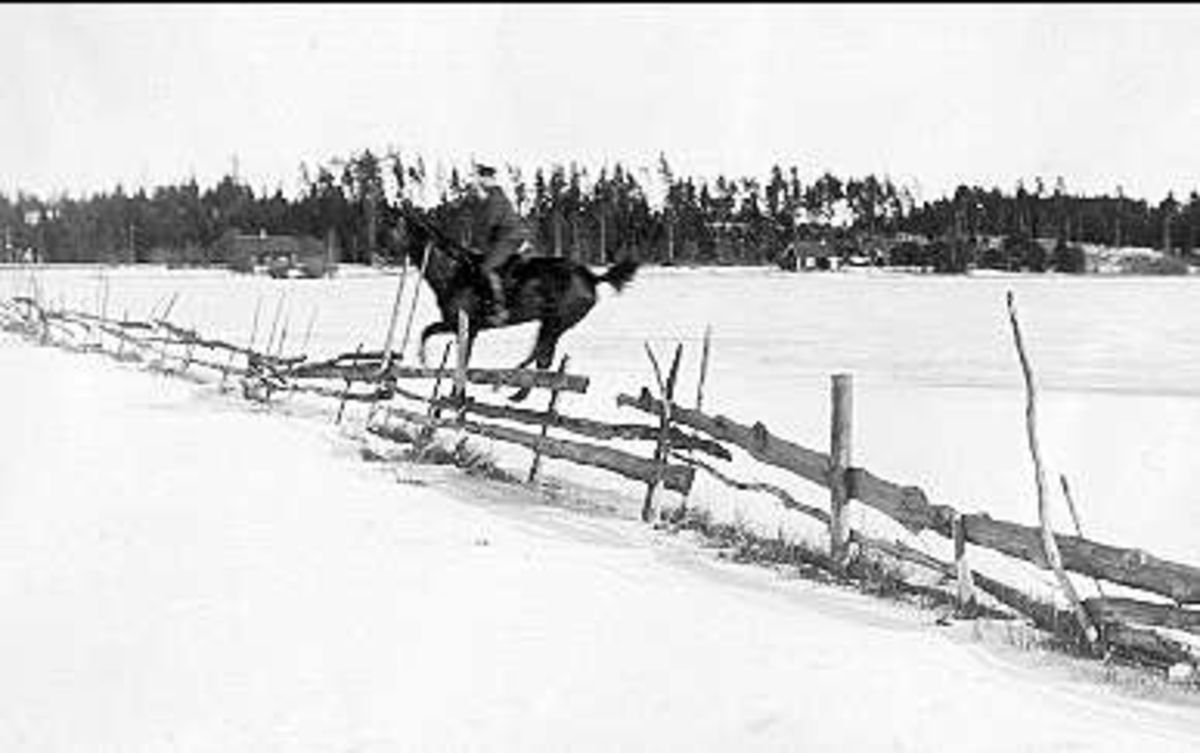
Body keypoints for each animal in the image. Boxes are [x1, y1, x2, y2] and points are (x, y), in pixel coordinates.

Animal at [388, 208, 640, 402]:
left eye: (398, 227)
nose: (387, 250)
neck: (454, 273)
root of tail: (591, 277)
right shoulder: (460, 326)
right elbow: (438, 339)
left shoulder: (465, 325)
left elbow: (450, 349)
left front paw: (435, 372)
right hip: (552, 323)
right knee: (542, 356)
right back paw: (518, 390)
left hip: (557, 321)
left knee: (541, 355)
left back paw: (511, 384)